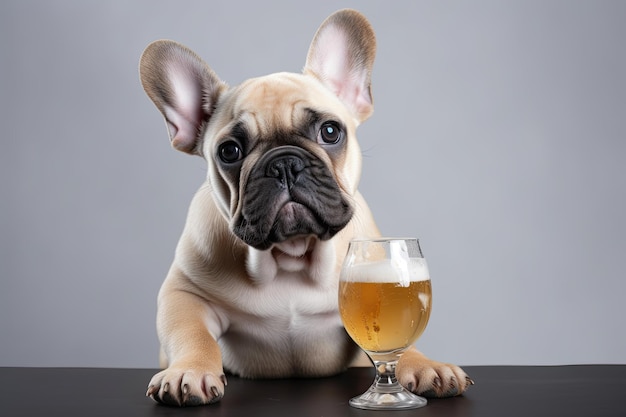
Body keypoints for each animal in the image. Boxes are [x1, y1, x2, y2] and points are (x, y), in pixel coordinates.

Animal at [136, 8, 468, 406]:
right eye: (229, 151)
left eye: (330, 131)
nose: (283, 163)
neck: (290, 258)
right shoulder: (184, 294)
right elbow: (192, 335)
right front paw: (189, 371)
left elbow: (399, 338)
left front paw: (424, 365)